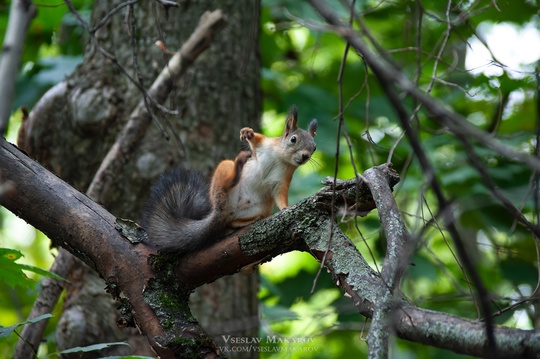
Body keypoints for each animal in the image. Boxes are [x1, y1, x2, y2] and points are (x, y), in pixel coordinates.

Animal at [142, 107, 316, 256]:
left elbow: (280, 195)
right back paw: (237, 168)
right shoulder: (266, 145)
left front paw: (286, 207)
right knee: (227, 184)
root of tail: (220, 211)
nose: (305, 156)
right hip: (224, 171)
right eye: (293, 139)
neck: (281, 158)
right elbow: (257, 140)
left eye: (314, 148)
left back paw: (244, 222)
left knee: (229, 221)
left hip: (259, 208)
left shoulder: (283, 180)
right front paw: (248, 132)